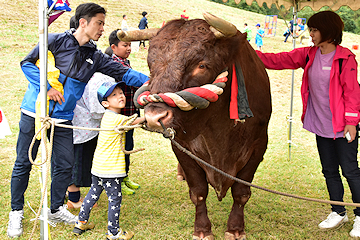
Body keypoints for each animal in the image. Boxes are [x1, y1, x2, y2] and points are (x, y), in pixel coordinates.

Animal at [129, 13, 270, 240]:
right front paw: (202, 229)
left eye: (202, 65)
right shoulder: (181, 145)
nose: (154, 117)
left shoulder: (258, 146)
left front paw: (235, 228)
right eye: (151, 64)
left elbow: (241, 192)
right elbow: (198, 192)